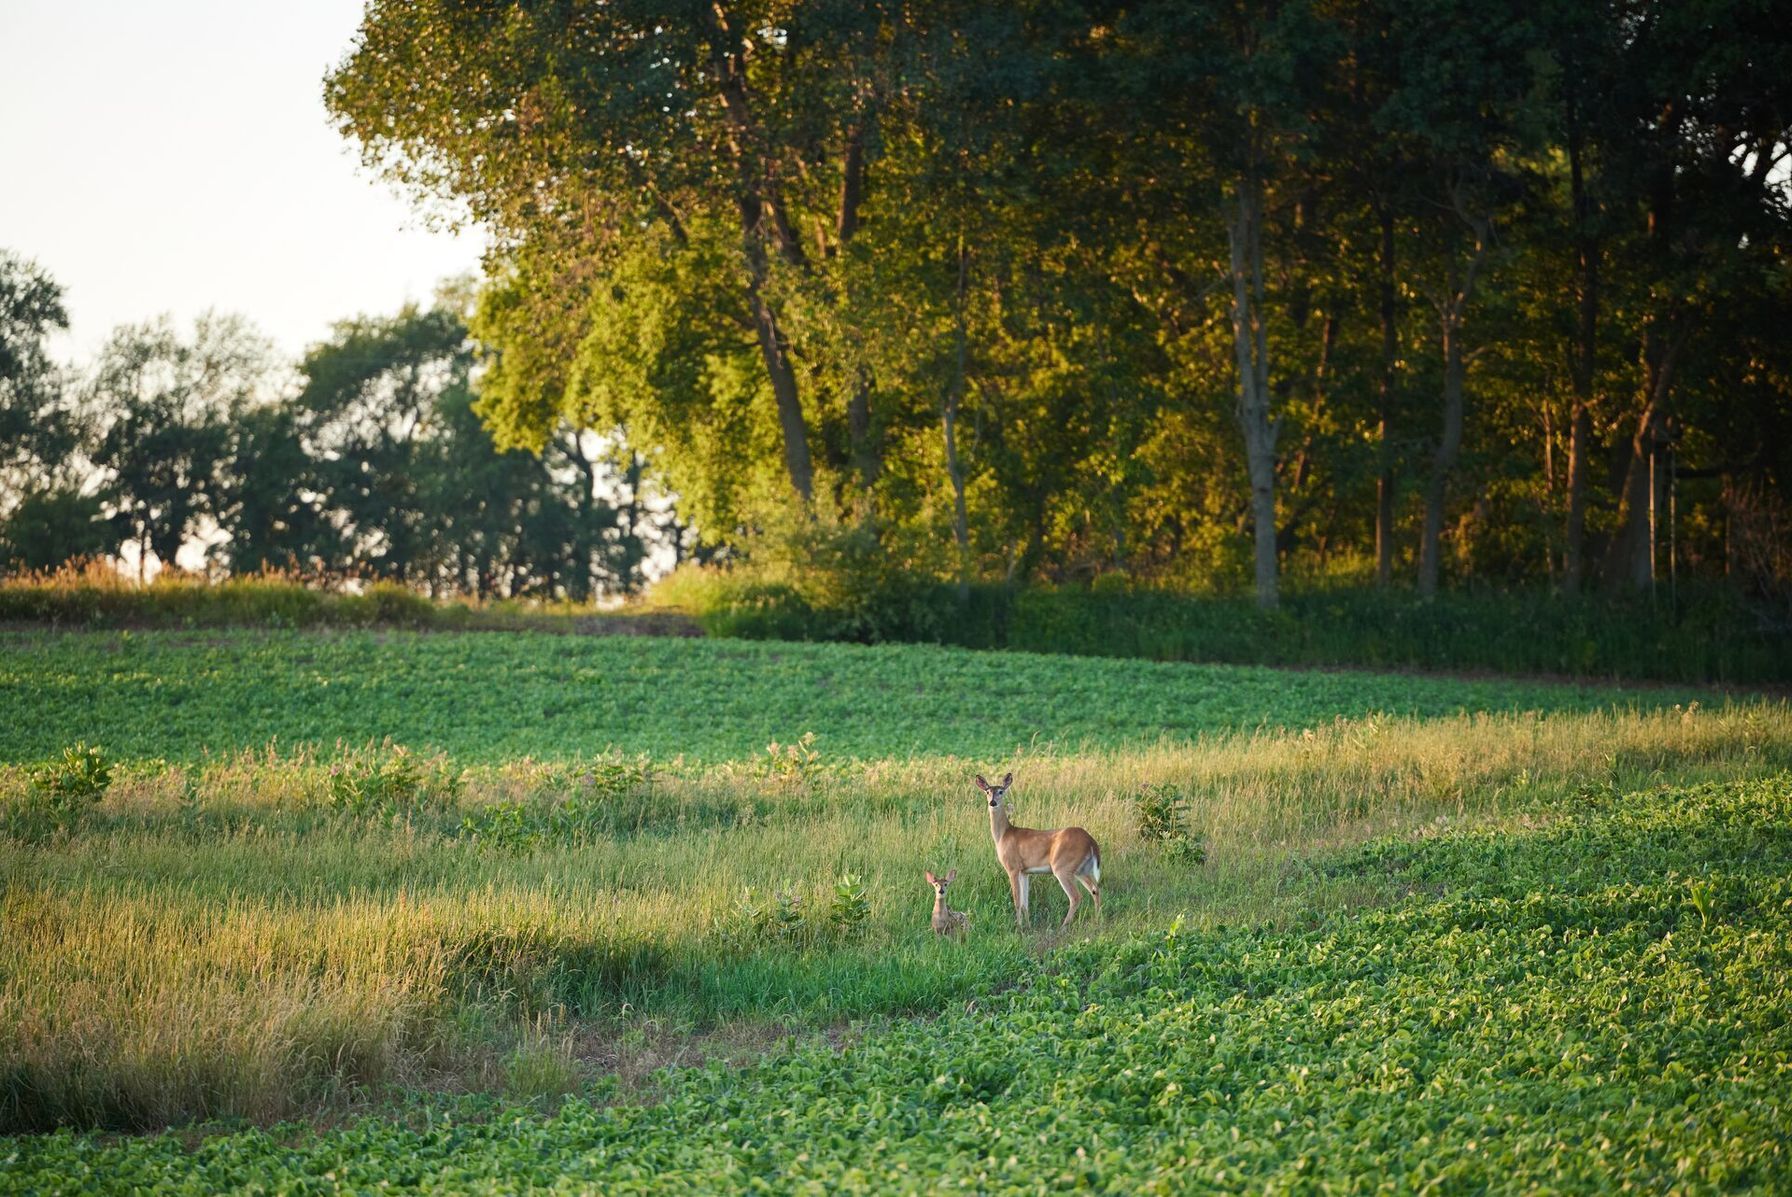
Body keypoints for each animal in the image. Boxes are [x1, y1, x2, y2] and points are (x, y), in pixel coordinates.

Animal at [976, 772, 1101, 929]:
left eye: (1001, 791)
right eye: (987, 792)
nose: (992, 802)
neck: (1003, 835)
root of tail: (1091, 841)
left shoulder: (1012, 867)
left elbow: (1017, 900)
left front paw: (1018, 927)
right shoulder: (1025, 871)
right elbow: (1025, 903)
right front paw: (1028, 925)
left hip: (1063, 866)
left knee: (1076, 896)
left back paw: (1063, 926)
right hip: (1081, 869)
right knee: (1095, 889)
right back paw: (1097, 921)